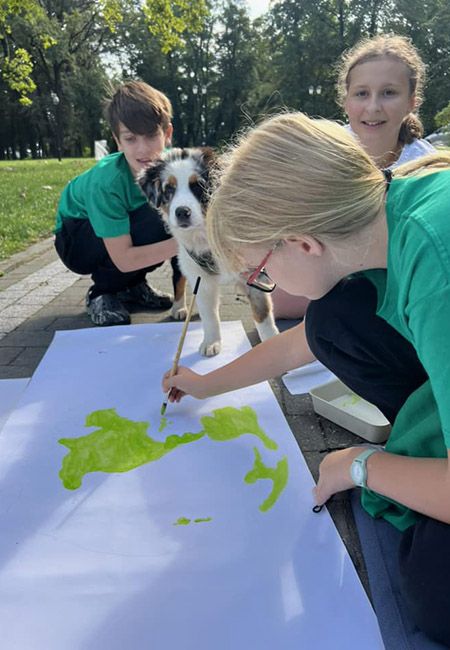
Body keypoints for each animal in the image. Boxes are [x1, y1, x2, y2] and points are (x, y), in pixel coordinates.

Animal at [137, 146, 278, 354]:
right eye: (169, 188)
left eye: (198, 186)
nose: (182, 212)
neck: (206, 232)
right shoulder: (200, 276)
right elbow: (209, 314)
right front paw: (212, 342)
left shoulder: (255, 275)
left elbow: (263, 317)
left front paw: (272, 344)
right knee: (178, 277)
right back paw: (179, 308)